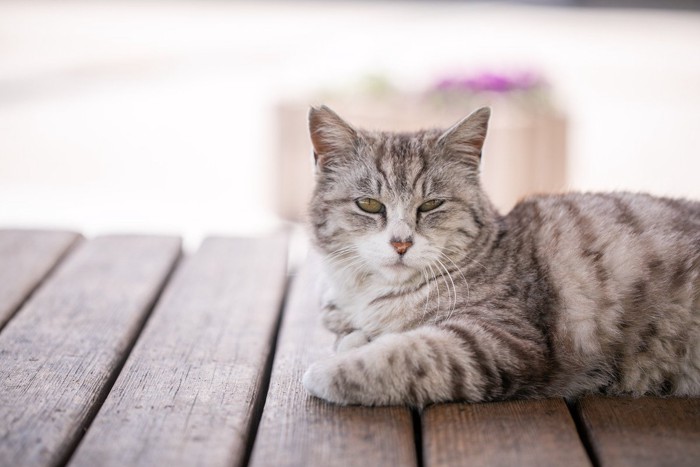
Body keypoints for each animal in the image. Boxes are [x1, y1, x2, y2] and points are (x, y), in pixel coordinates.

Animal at [304, 105, 700, 406]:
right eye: (369, 205)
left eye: (431, 205)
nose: (401, 243)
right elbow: (362, 333)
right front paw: (355, 338)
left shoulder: (496, 340)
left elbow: (404, 354)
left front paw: (326, 370)